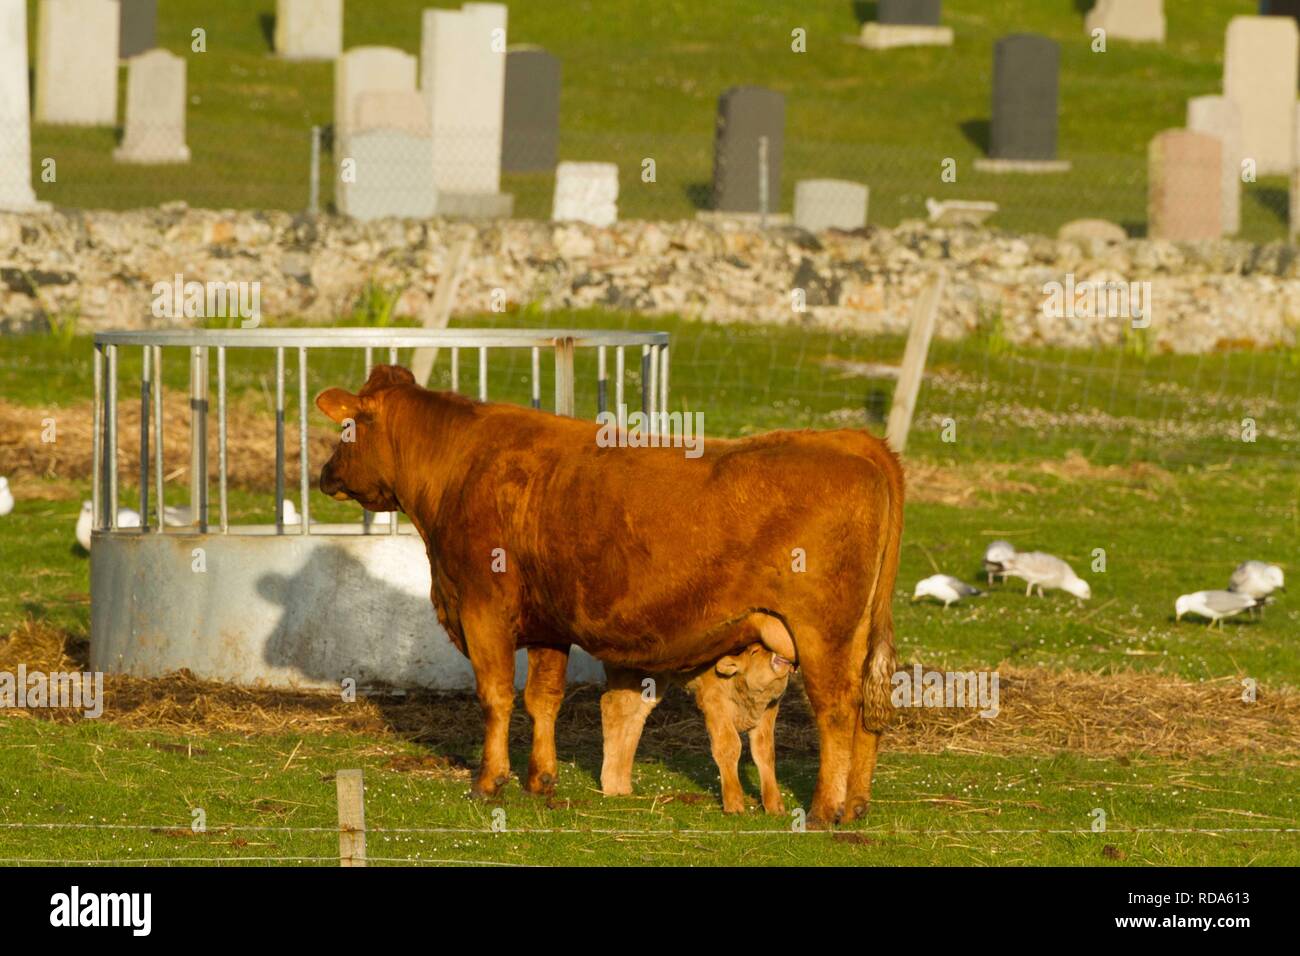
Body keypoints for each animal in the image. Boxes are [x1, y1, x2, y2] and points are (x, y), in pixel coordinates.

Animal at [314, 366, 904, 822]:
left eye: (347, 426)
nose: (324, 474)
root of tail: (848, 441)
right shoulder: (547, 623)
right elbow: (543, 699)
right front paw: (542, 779)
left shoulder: (483, 607)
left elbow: (496, 694)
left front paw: (489, 780)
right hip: (857, 635)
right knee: (866, 715)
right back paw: (855, 806)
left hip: (823, 633)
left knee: (838, 710)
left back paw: (826, 809)